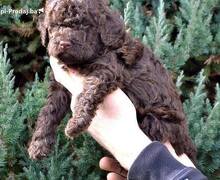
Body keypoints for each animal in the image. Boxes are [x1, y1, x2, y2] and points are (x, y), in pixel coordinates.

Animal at [28, 0, 197, 162]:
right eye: (54, 26)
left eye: (85, 26)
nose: (64, 43)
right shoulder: (60, 86)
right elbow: (49, 111)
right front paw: (38, 145)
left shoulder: (107, 71)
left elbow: (87, 95)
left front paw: (76, 123)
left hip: (155, 123)